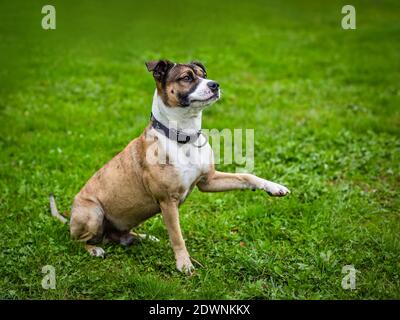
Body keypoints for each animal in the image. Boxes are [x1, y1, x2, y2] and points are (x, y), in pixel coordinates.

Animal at [50, 60, 290, 276]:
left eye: (203, 74)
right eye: (187, 77)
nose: (215, 84)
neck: (184, 136)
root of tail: (69, 220)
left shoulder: (208, 181)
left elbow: (246, 176)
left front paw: (274, 187)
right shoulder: (168, 202)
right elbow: (177, 236)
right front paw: (184, 264)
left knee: (118, 236)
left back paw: (143, 237)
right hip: (92, 213)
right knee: (78, 241)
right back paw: (94, 249)